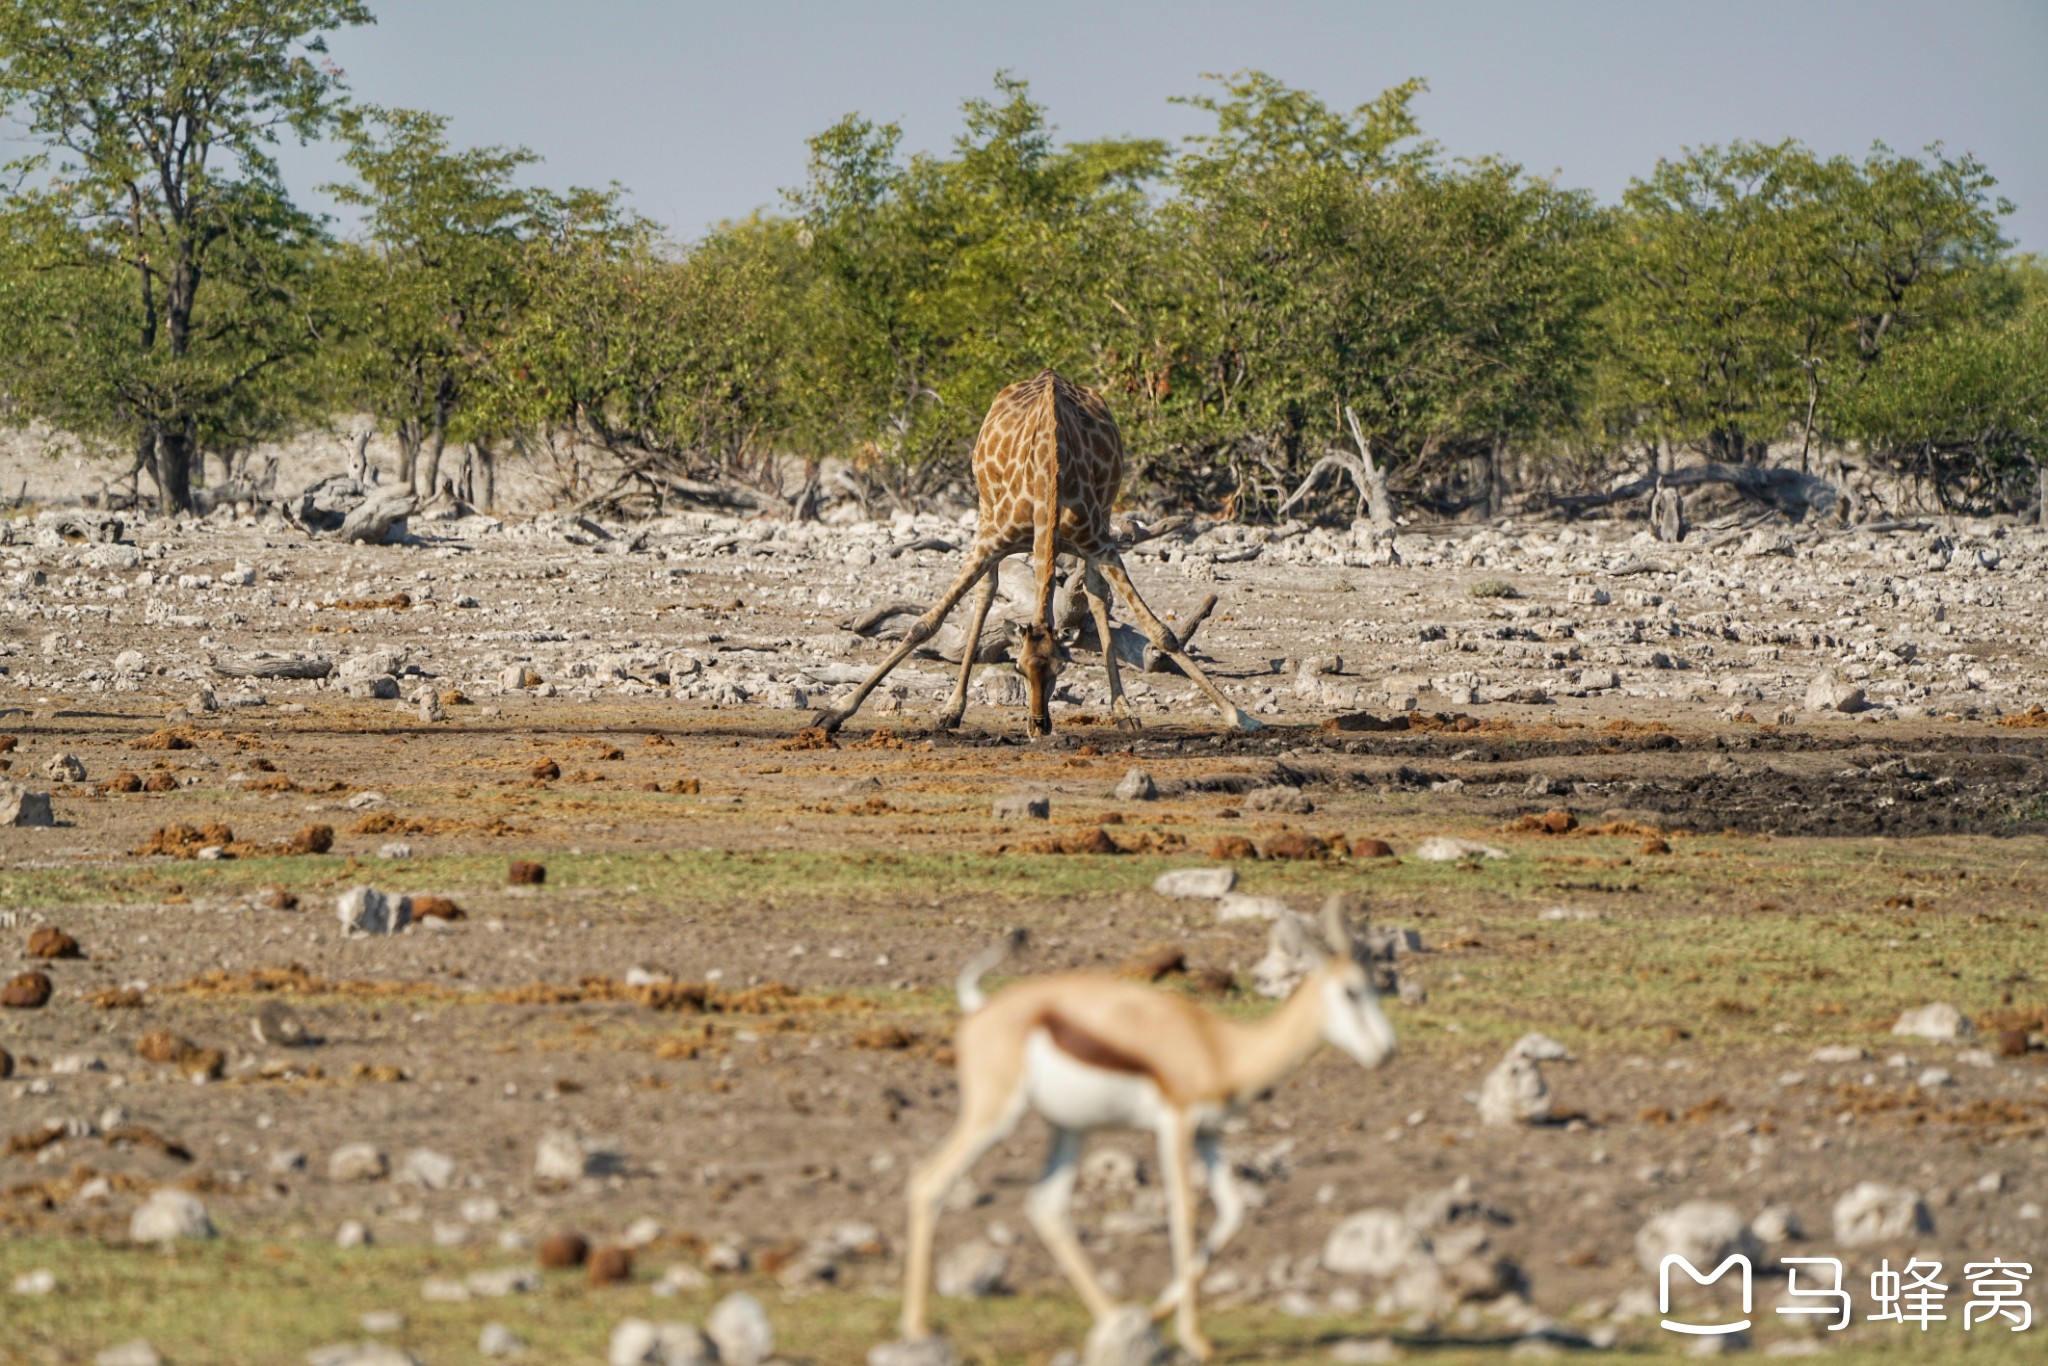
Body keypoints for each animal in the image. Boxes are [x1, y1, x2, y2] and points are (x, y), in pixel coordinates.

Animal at [815, 368, 1261, 737]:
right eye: (1019, 667)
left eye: (1060, 668)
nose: (1038, 725)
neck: (1049, 475)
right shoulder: (992, 539)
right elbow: (924, 624)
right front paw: (834, 712)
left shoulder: (1100, 542)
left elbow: (1161, 632)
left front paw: (1240, 715)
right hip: (985, 512)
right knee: (986, 594)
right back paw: (952, 710)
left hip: (1100, 520)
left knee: (1095, 596)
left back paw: (1124, 712)